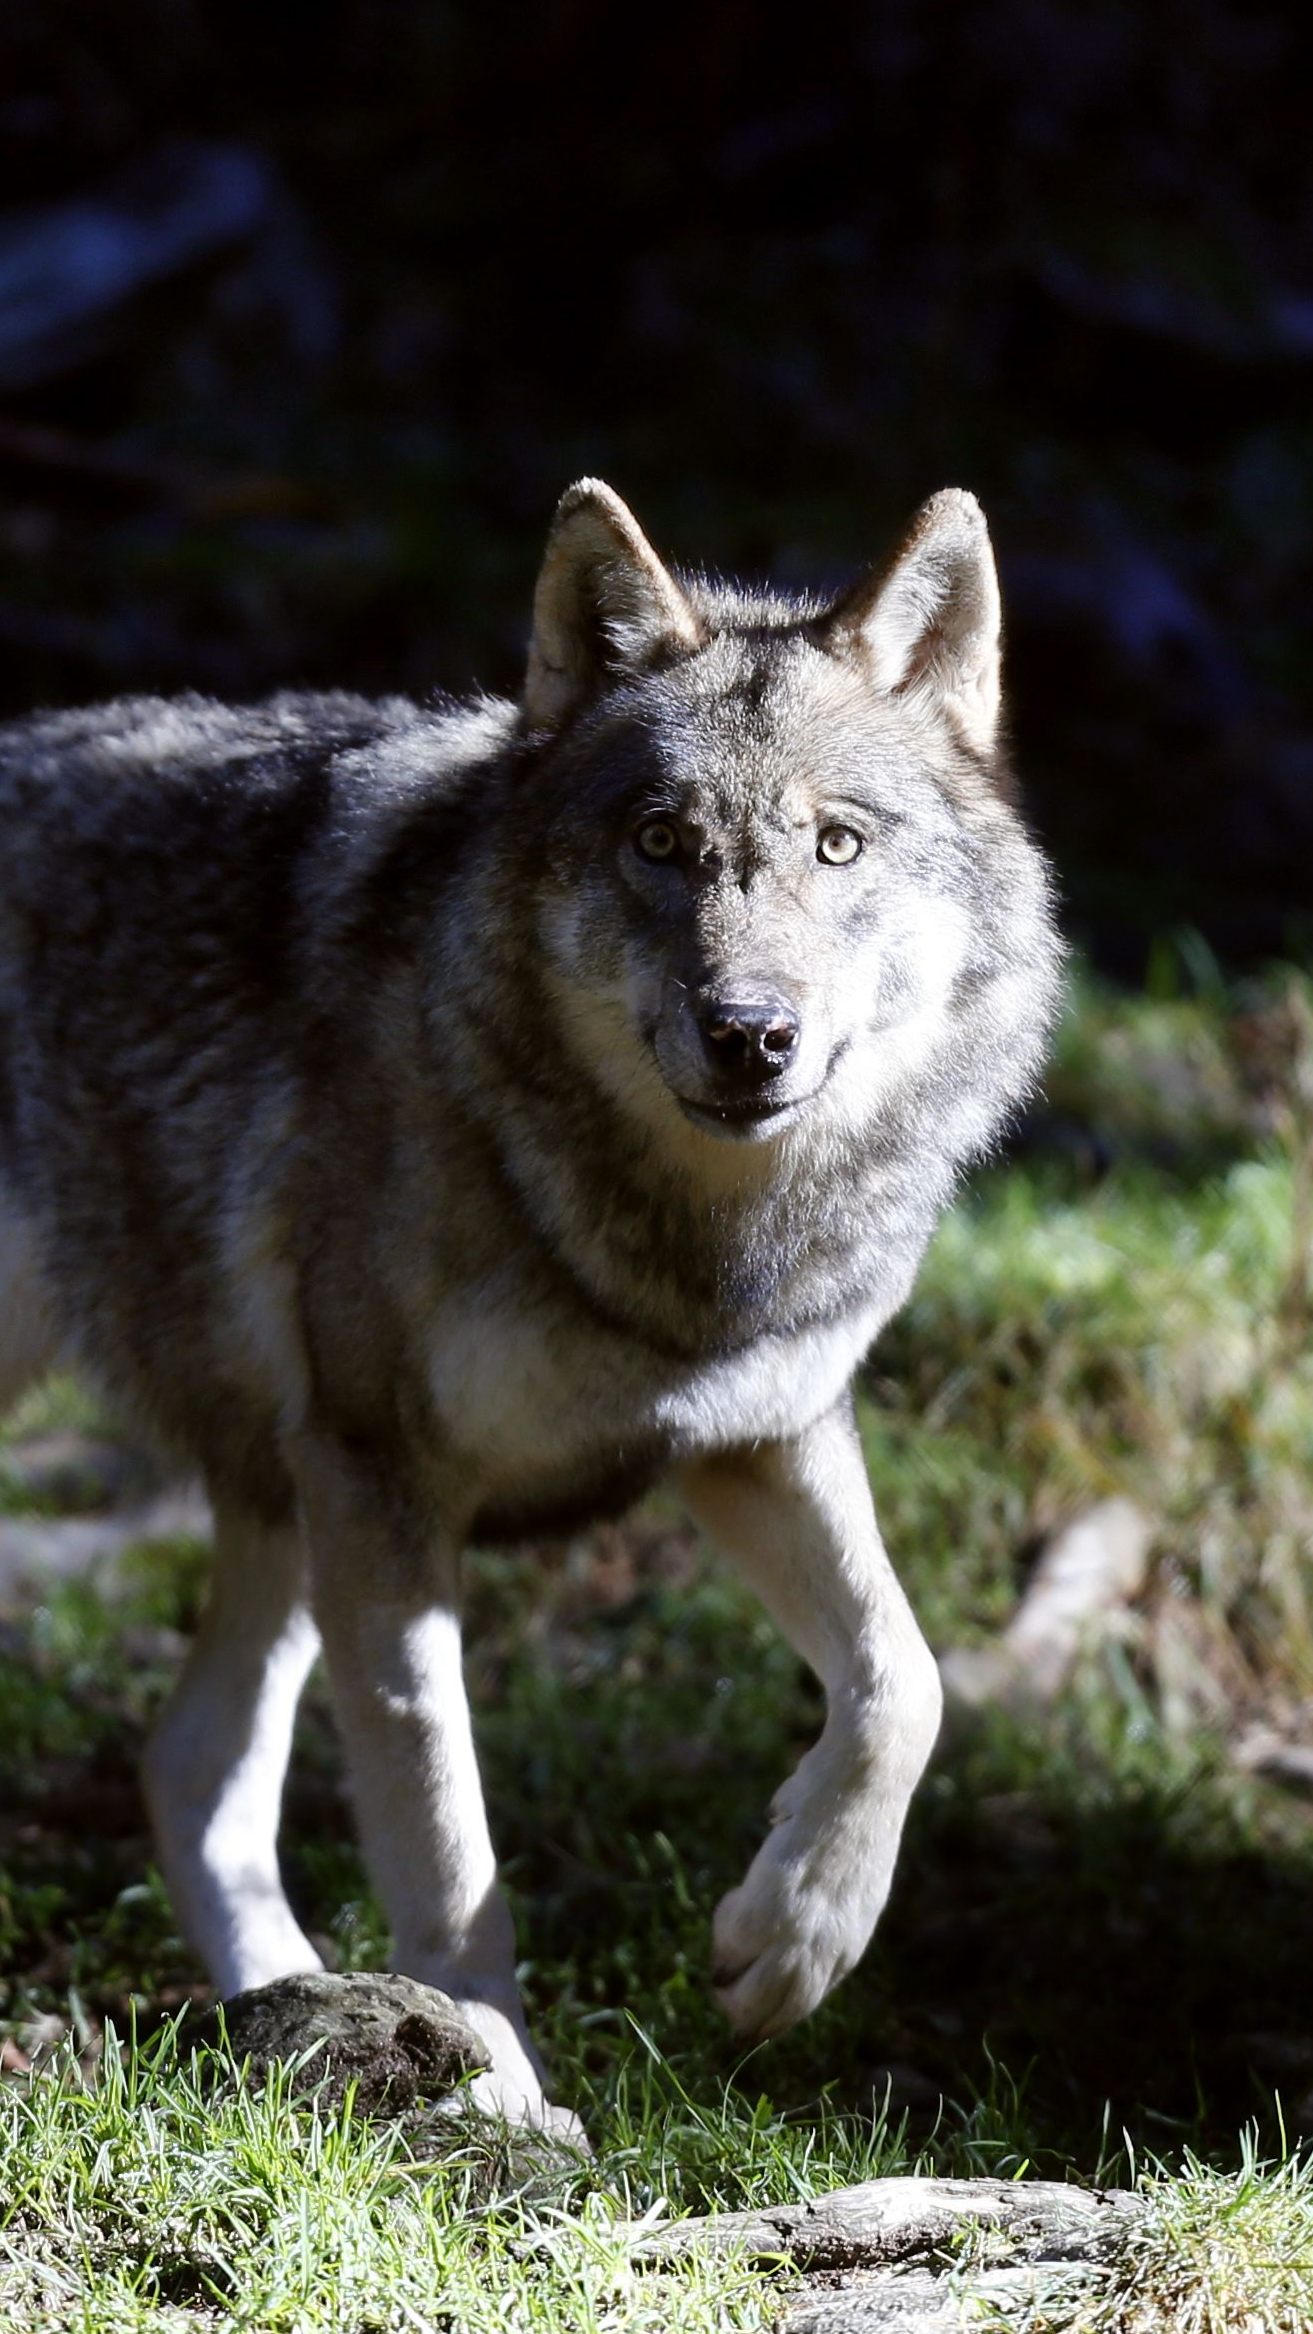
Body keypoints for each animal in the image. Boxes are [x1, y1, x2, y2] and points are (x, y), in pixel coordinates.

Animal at [0, 481, 1061, 2124]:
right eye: (660, 842)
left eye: (835, 844)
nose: (747, 1034)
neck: (681, 1246)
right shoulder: (386, 1485)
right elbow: (449, 1840)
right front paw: (495, 2078)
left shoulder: (757, 1431)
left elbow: (906, 1680)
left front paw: (793, 1937)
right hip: (285, 1491)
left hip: (283, 1509)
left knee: (189, 1767)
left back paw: (277, 2010)